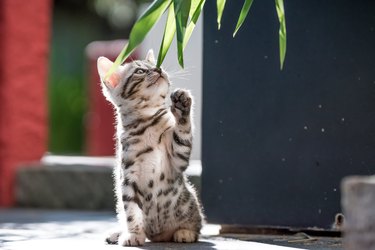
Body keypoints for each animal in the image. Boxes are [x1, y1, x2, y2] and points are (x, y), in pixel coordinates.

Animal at [95, 49, 204, 246]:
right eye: (140, 71)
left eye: (155, 66)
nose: (158, 69)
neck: (148, 122)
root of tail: (158, 236)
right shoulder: (128, 178)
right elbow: (131, 211)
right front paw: (133, 234)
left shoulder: (177, 158)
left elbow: (183, 132)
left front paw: (182, 105)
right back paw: (118, 233)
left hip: (188, 201)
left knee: (197, 224)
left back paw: (185, 232)